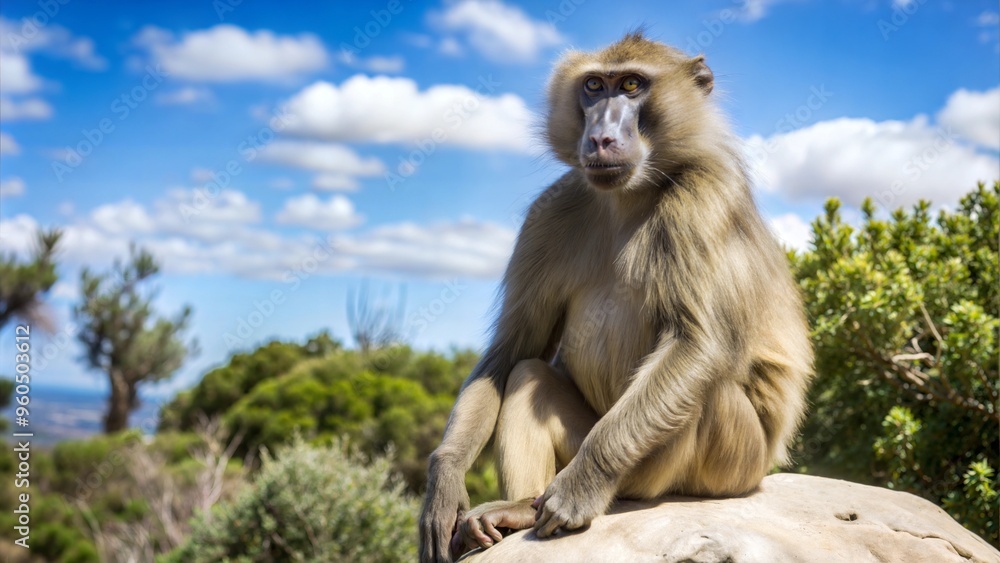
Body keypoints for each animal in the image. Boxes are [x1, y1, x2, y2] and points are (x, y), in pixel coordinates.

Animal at [419, 32, 813, 562]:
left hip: (724, 465)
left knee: (704, 383)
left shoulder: (703, 199)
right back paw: (519, 509)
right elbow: (513, 351)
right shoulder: (549, 211)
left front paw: (579, 490)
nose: (601, 138)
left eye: (631, 85)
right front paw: (444, 481)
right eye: (593, 86)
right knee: (528, 375)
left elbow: (699, 344)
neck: (628, 196)